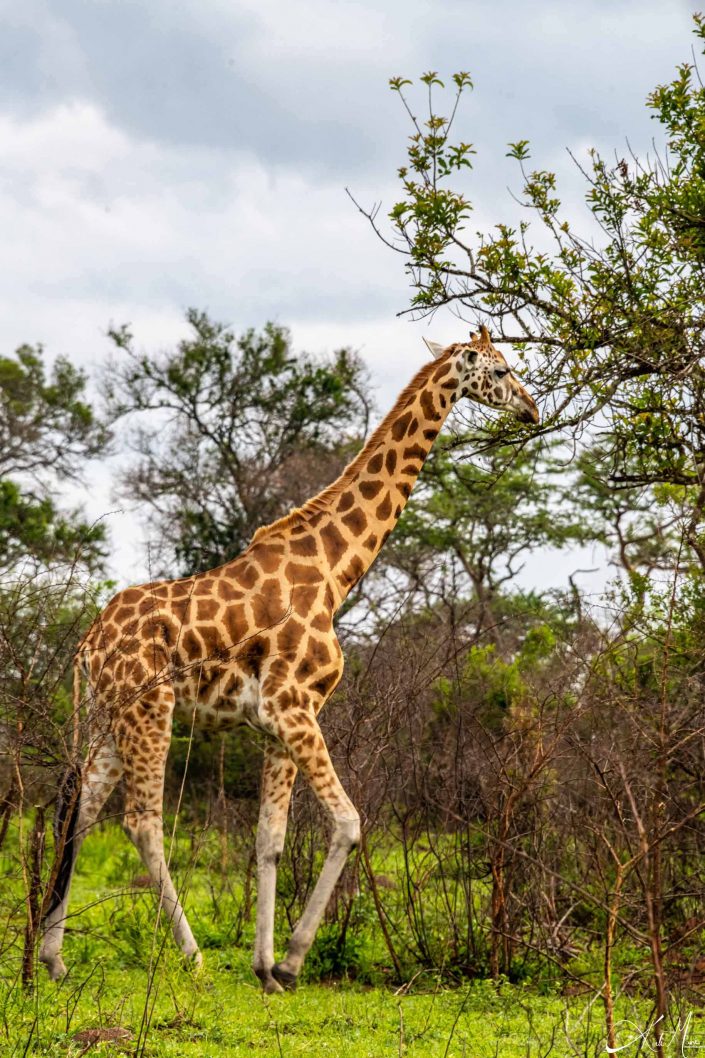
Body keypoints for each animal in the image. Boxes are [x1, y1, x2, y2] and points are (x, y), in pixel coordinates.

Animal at [39, 323, 537, 990]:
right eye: (502, 368)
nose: (532, 410)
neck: (335, 570)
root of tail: (88, 643)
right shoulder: (294, 706)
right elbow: (349, 823)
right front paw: (294, 958)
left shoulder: (273, 723)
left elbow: (268, 840)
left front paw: (265, 966)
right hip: (151, 710)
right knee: (141, 822)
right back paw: (192, 957)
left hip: (108, 718)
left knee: (80, 811)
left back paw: (53, 957)